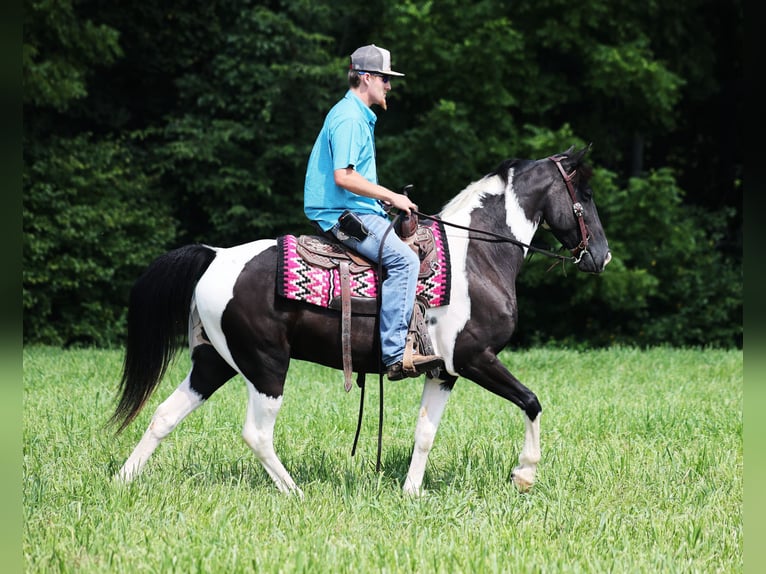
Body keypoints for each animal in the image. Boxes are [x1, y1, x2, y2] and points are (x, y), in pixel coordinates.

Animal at [111, 146, 612, 498]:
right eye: (585, 195)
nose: (602, 256)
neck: (477, 257)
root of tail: (215, 256)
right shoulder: (475, 359)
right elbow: (531, 401)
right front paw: (524, 474)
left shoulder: (444, 371)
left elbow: (425, 432)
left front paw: (411, 492)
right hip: (265, 364)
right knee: (256, 434)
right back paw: (296, 493)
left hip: (215, 361)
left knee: (163, 416)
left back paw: (121, 480)